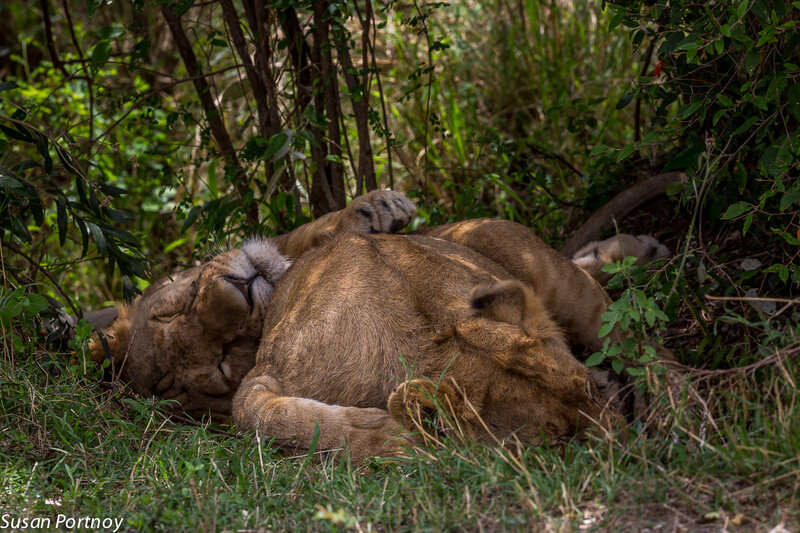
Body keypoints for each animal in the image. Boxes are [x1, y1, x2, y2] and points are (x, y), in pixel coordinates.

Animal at [88, 190, 670, 461]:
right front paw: (384, 434)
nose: (241, 289)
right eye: (222, 363)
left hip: (536, 266)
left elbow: (310, 231)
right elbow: (259, 415)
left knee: (643, 342)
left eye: (173, 309)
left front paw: (369, 211)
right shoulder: (261, 380)